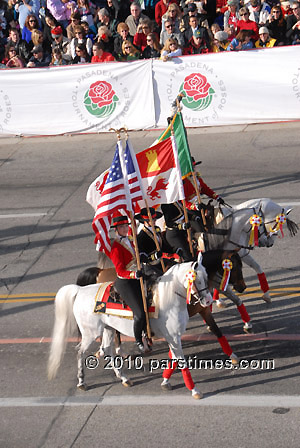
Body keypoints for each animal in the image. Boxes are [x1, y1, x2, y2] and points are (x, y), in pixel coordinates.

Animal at [48, 256, 212, 400]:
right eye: (197, 279)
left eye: (207, 276)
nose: (208, 301)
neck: (169, 299)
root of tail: (80, 290)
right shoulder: (173, 337)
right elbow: (181, 362)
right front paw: (194, 390)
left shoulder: (174, 336)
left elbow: (174, 360)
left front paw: (165, 381)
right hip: (90, 333)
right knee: (80, 352)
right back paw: (82, 382)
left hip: (108, 329)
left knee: (107, 350)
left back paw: (124, 378)